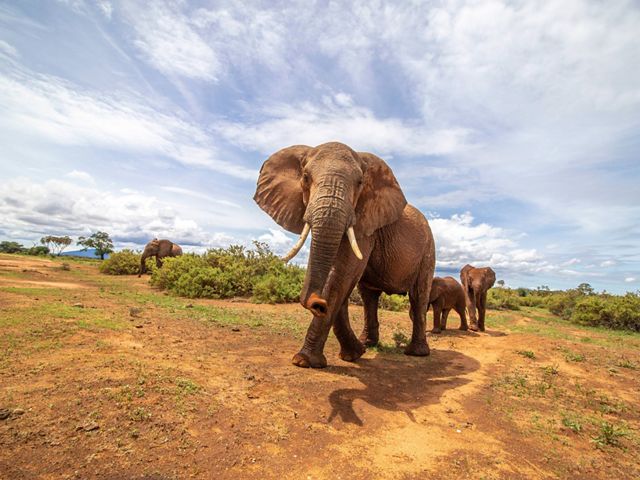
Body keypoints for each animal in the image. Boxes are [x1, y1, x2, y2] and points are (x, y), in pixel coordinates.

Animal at [254, 142, 435, 368]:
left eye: (360, 183)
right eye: (305, 176)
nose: (318, 304)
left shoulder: (364, 223)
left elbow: (343, 273)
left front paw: (304, 361)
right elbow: (342, 279)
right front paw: (354, 354)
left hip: (428, 250)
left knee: (419, 295)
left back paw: (416, 353)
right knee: (368, 296)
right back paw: (368, 343)